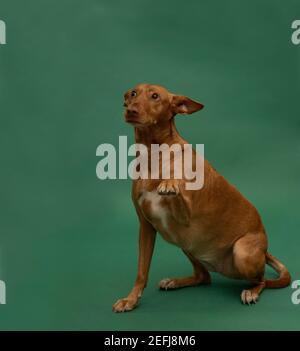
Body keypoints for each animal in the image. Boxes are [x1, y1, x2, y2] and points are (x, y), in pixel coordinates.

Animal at [111, 83, 290, 314]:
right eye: (133, 93)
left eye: (155, 96)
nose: (131, 110)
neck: (153, 155)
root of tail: (265, 251)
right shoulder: (146, 227)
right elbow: (142, 271)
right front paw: (131, 300)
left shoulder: (185, 216)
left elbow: (177, 185)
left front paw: (171, 182)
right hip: (184, 241)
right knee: (204, 276)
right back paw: (176, 281)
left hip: (241, 252)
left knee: (262, 281)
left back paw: (251, 291)